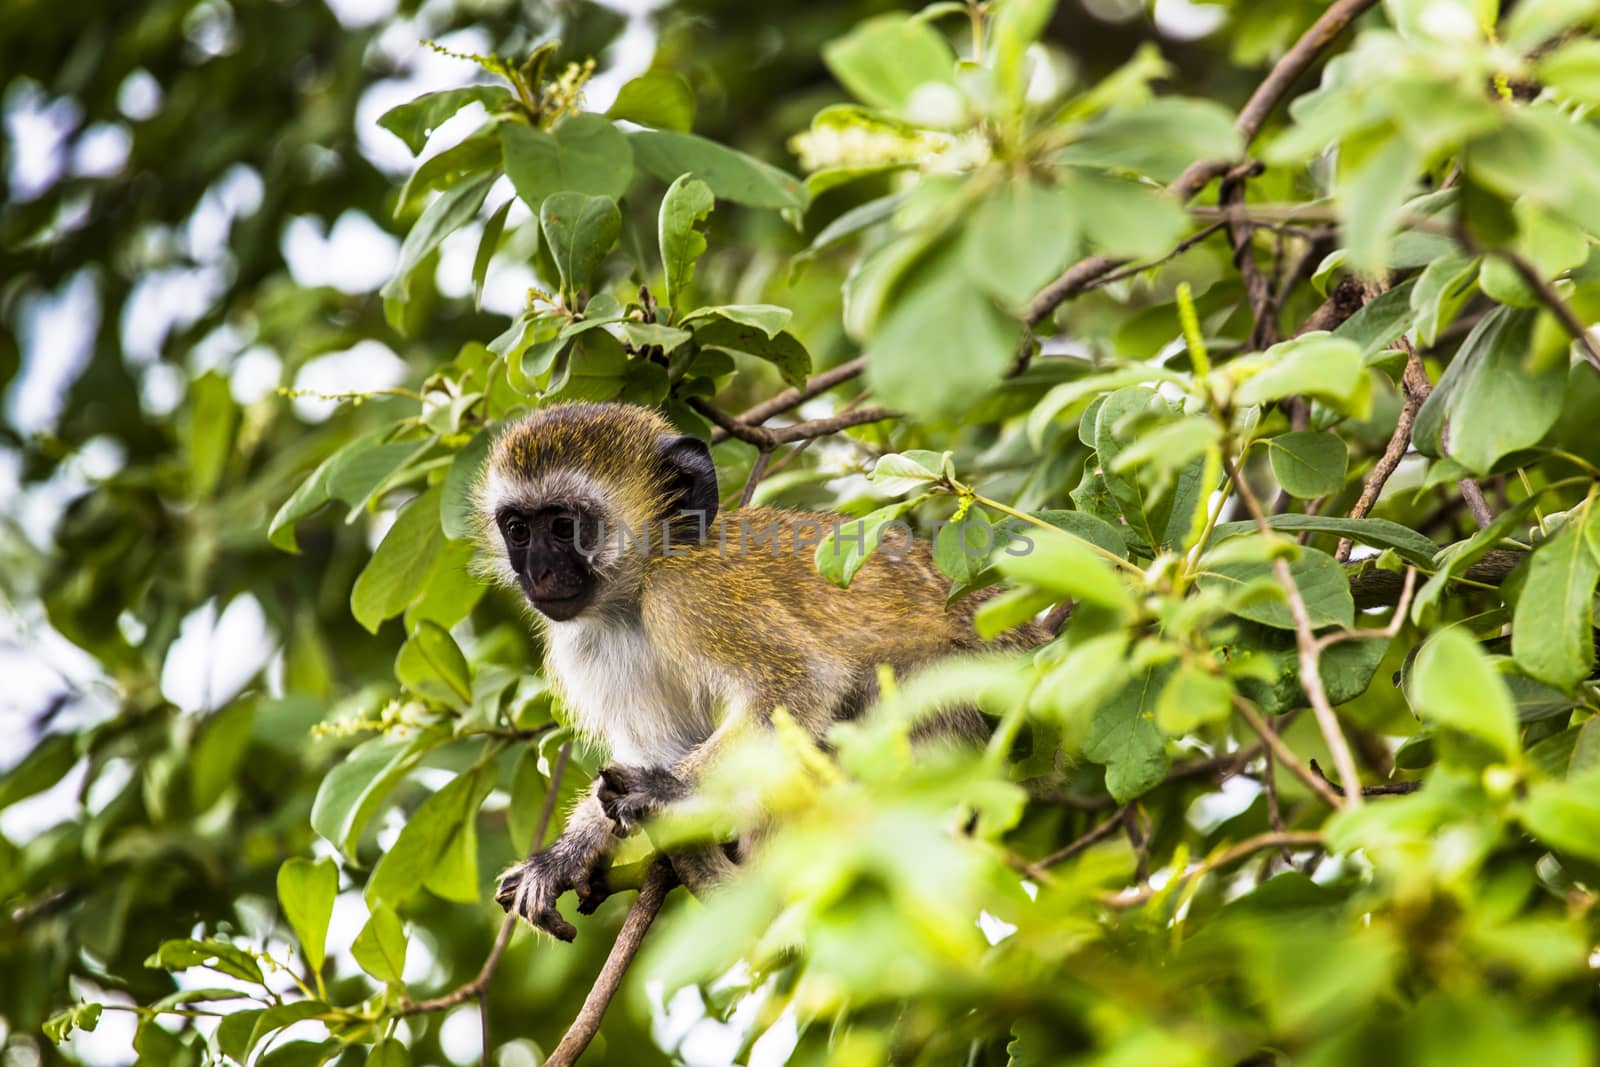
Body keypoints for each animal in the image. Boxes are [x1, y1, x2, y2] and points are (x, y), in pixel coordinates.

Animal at [480, 403, 1043, 940]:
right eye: (518, 530)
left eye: (564, 526)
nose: (539, 574)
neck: (633, 596)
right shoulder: (588, 646)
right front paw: (564, 855)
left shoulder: (690, 594)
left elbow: (803, 680)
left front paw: (668, 791)